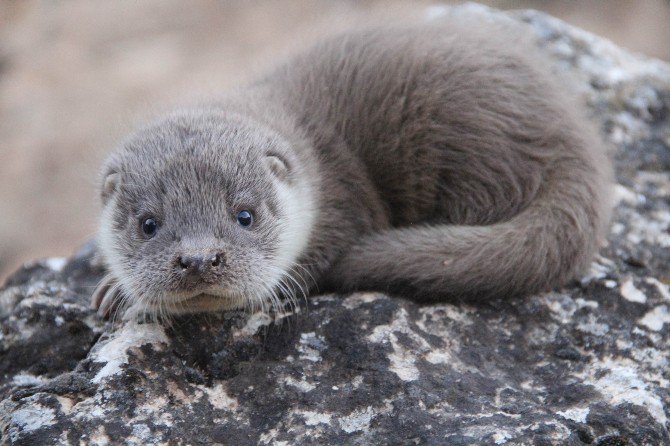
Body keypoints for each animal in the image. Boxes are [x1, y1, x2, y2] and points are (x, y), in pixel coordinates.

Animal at [90, 17, 616, 318]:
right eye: (148, 225)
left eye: (245, 216)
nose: (199, 259)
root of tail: (572, 135)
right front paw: (113, 288)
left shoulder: (345, 202)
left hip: (468, 139)